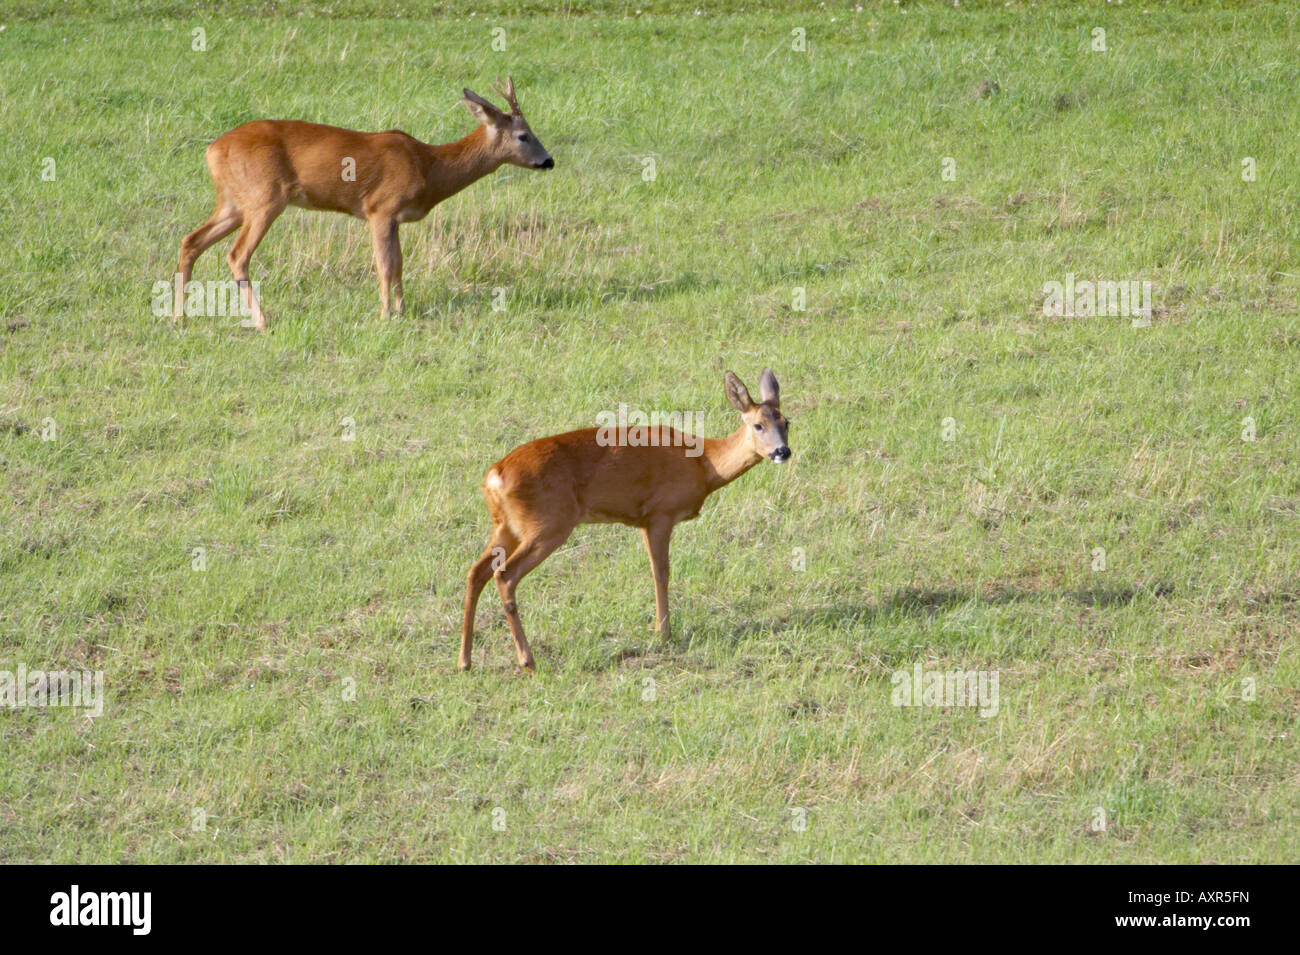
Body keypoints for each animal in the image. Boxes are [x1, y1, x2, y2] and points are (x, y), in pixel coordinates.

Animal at [172, 78, 552, 331]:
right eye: (524, 136)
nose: (548, 161)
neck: (429, 165)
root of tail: (212, 150)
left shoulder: (393, 218)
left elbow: (399, 265)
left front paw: (402, 311)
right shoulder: (379, 208)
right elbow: (385, 265)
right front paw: (385, 316)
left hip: (233, 202)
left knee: (191, 241)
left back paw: (179, 317)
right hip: (264, 198)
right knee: (236, 255)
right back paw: (262, 321)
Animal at [460, 369, 792, 672]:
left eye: (787, 422)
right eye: (758, 424)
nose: (782, 451)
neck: (704, 463)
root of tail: (494, 476)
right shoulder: (660, 514)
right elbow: (661, 573)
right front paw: (663, 633)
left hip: (506, 526)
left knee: (476, 572)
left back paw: (465, 661)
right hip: (547, 525)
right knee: (504, 575)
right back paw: (527, 660)